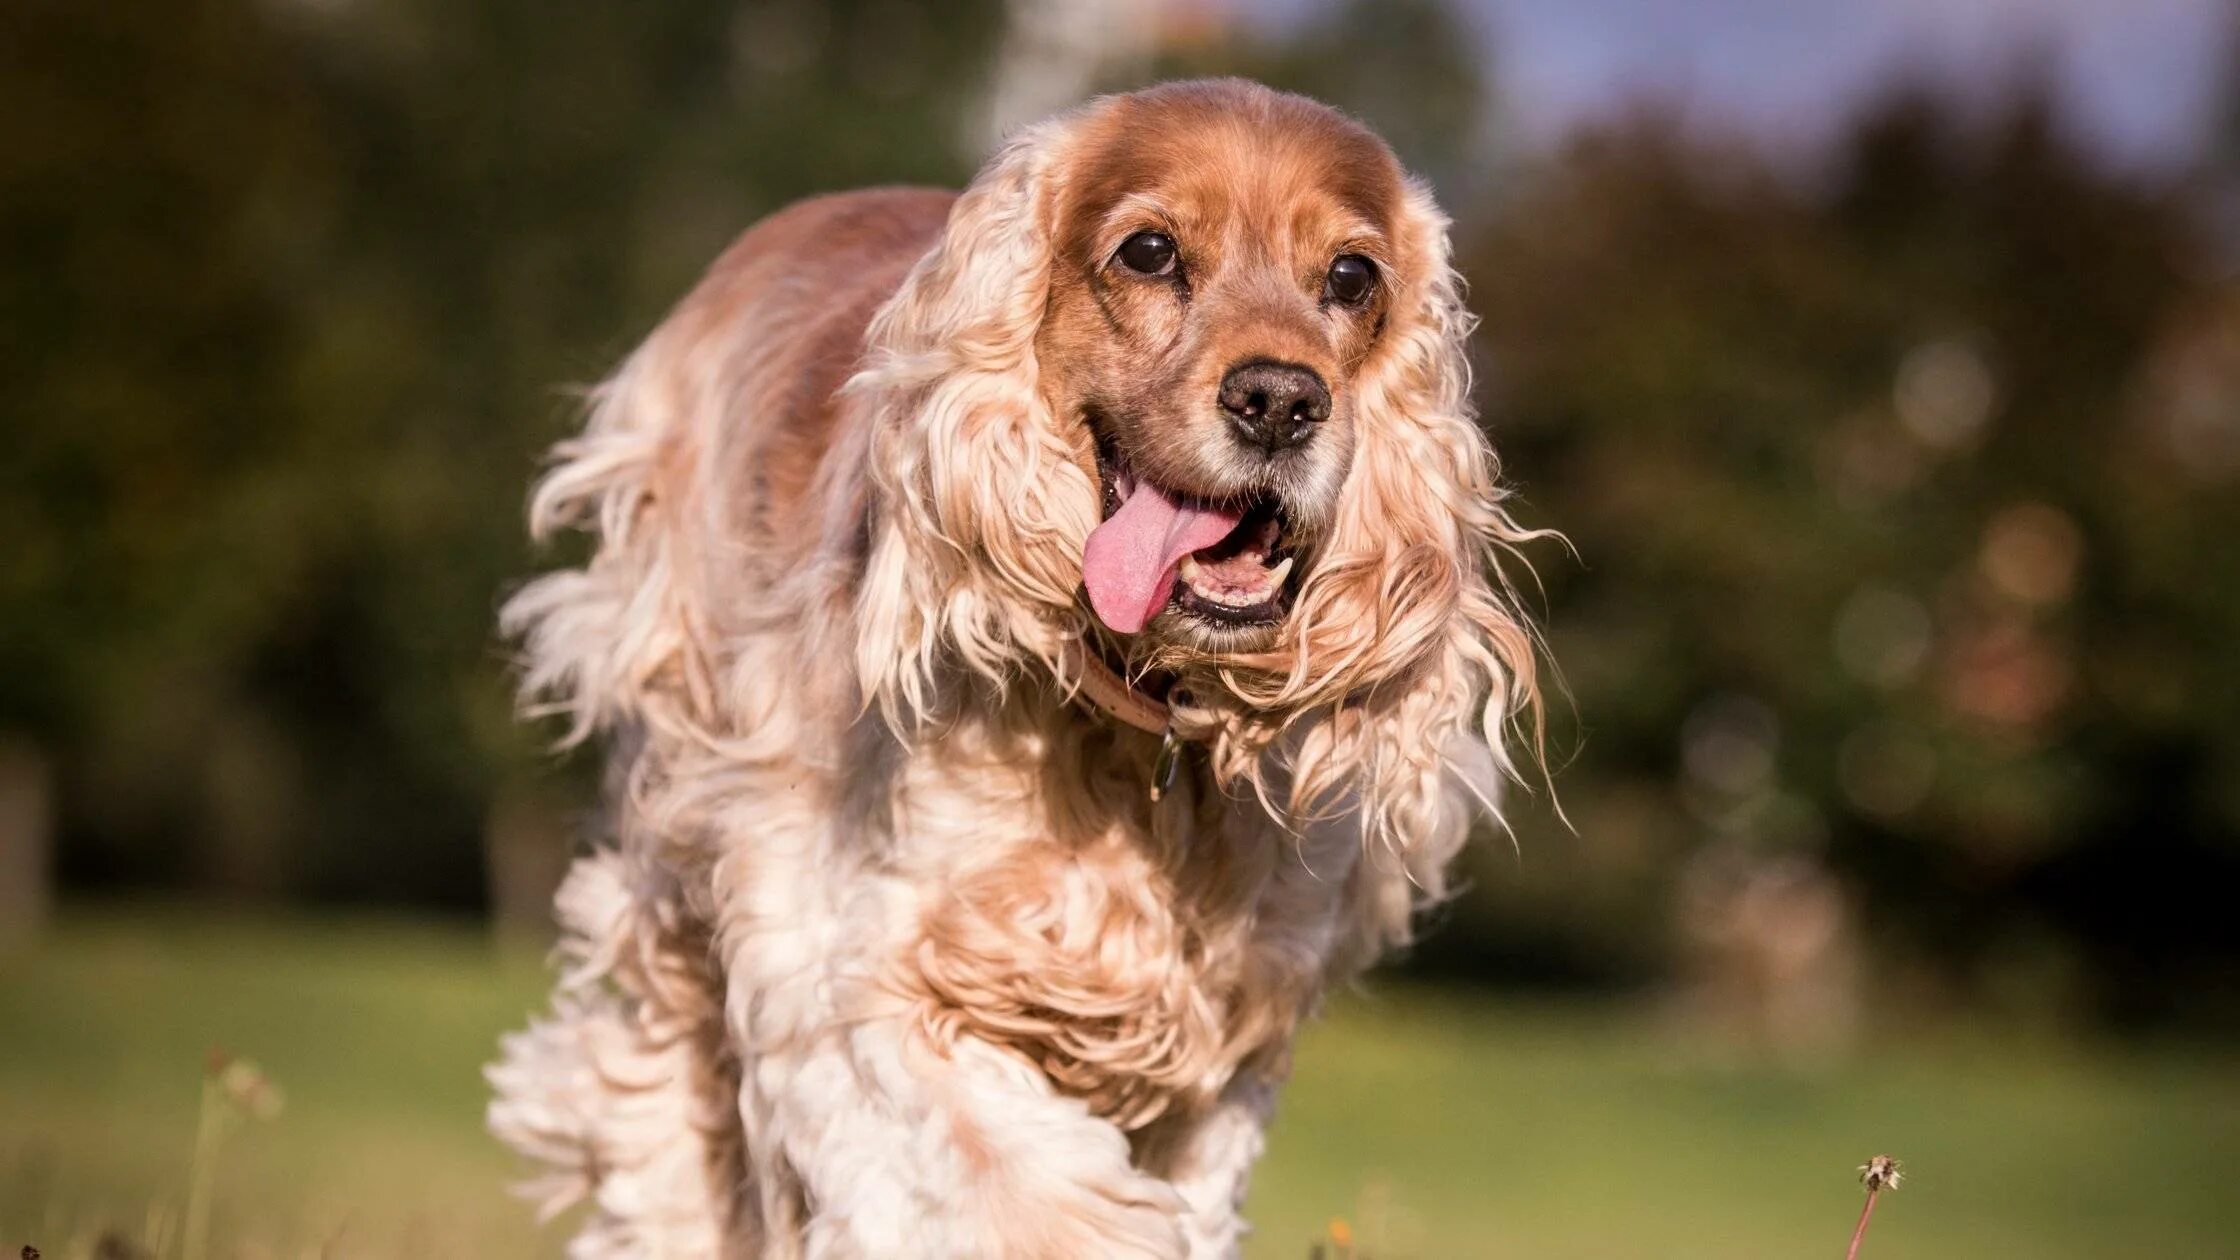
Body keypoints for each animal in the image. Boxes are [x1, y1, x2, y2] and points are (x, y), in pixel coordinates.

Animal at [490, 80, 1541, 1255]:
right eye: (1148, 252)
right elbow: (1008, 1189)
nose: (1279, 400)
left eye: (1352, 276)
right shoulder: (844, 961)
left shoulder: (1229, 1042)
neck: (1144, 737)